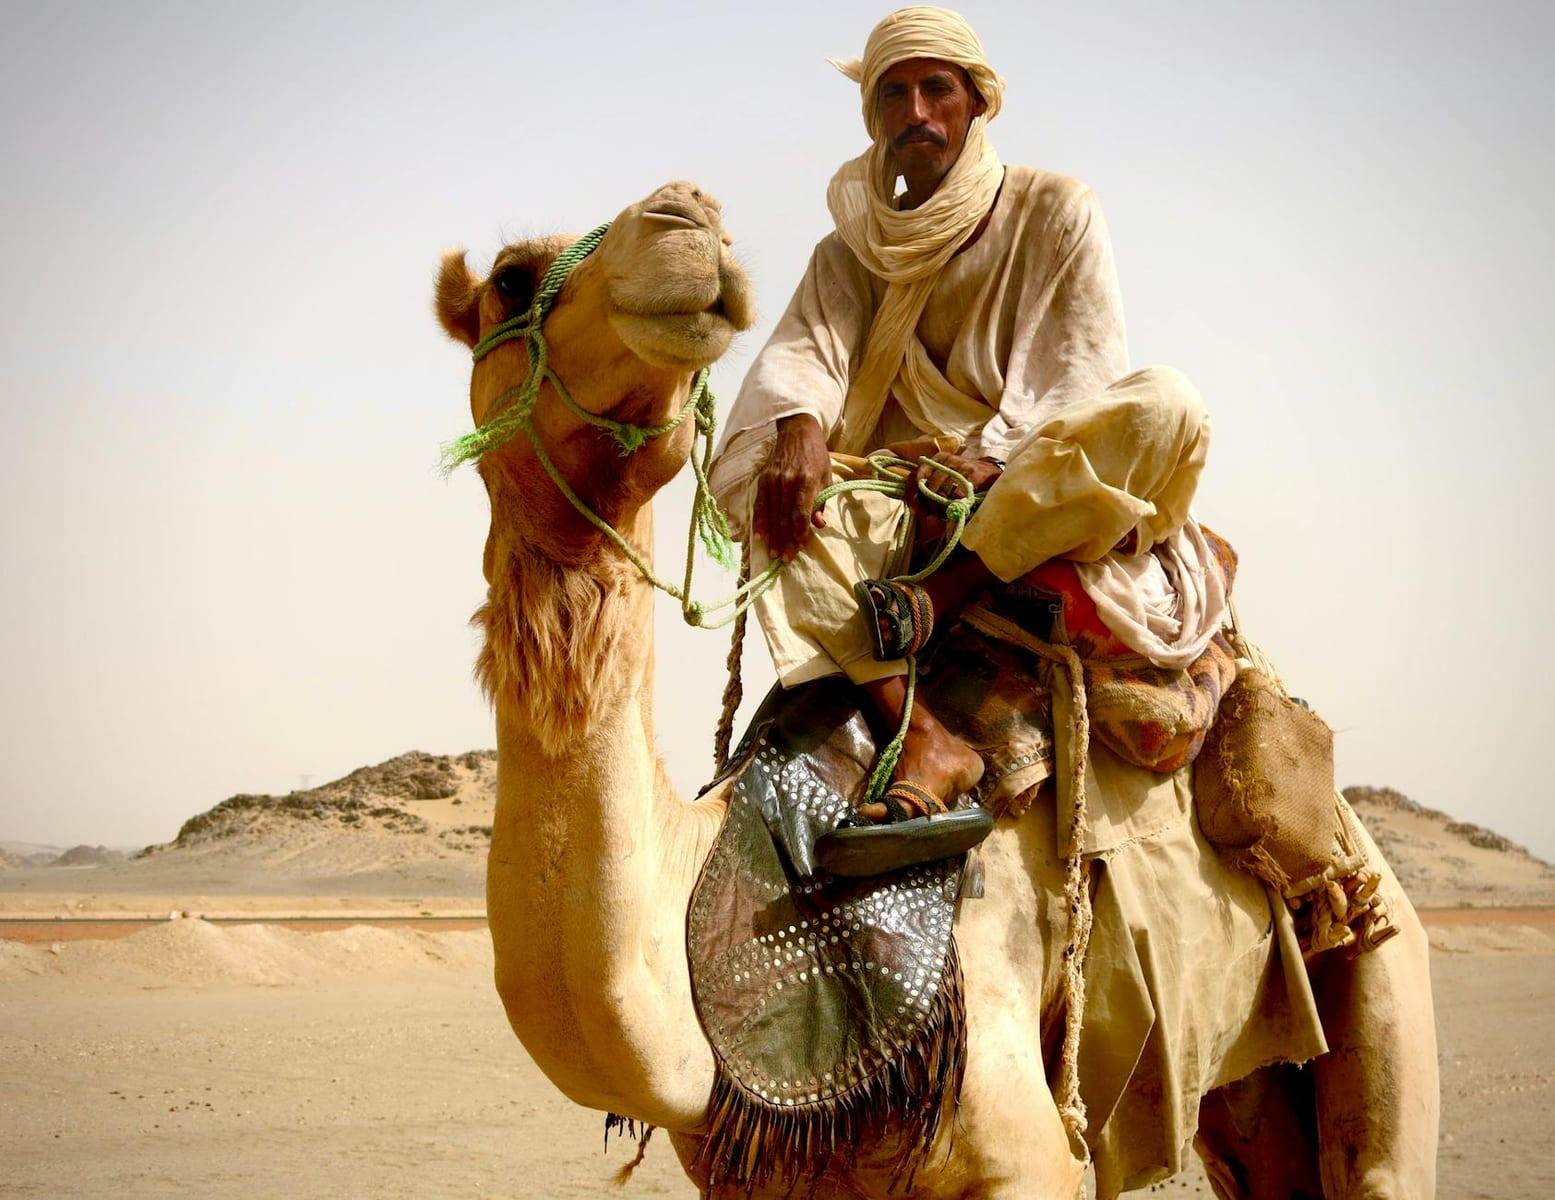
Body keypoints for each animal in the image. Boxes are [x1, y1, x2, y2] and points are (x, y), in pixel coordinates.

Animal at [433, 180, 1440, 1198]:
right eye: (510, 279)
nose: (686, 217)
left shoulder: (1027, 1155)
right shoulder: (749, 1178)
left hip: (1387, 975)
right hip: (1249, 1081)